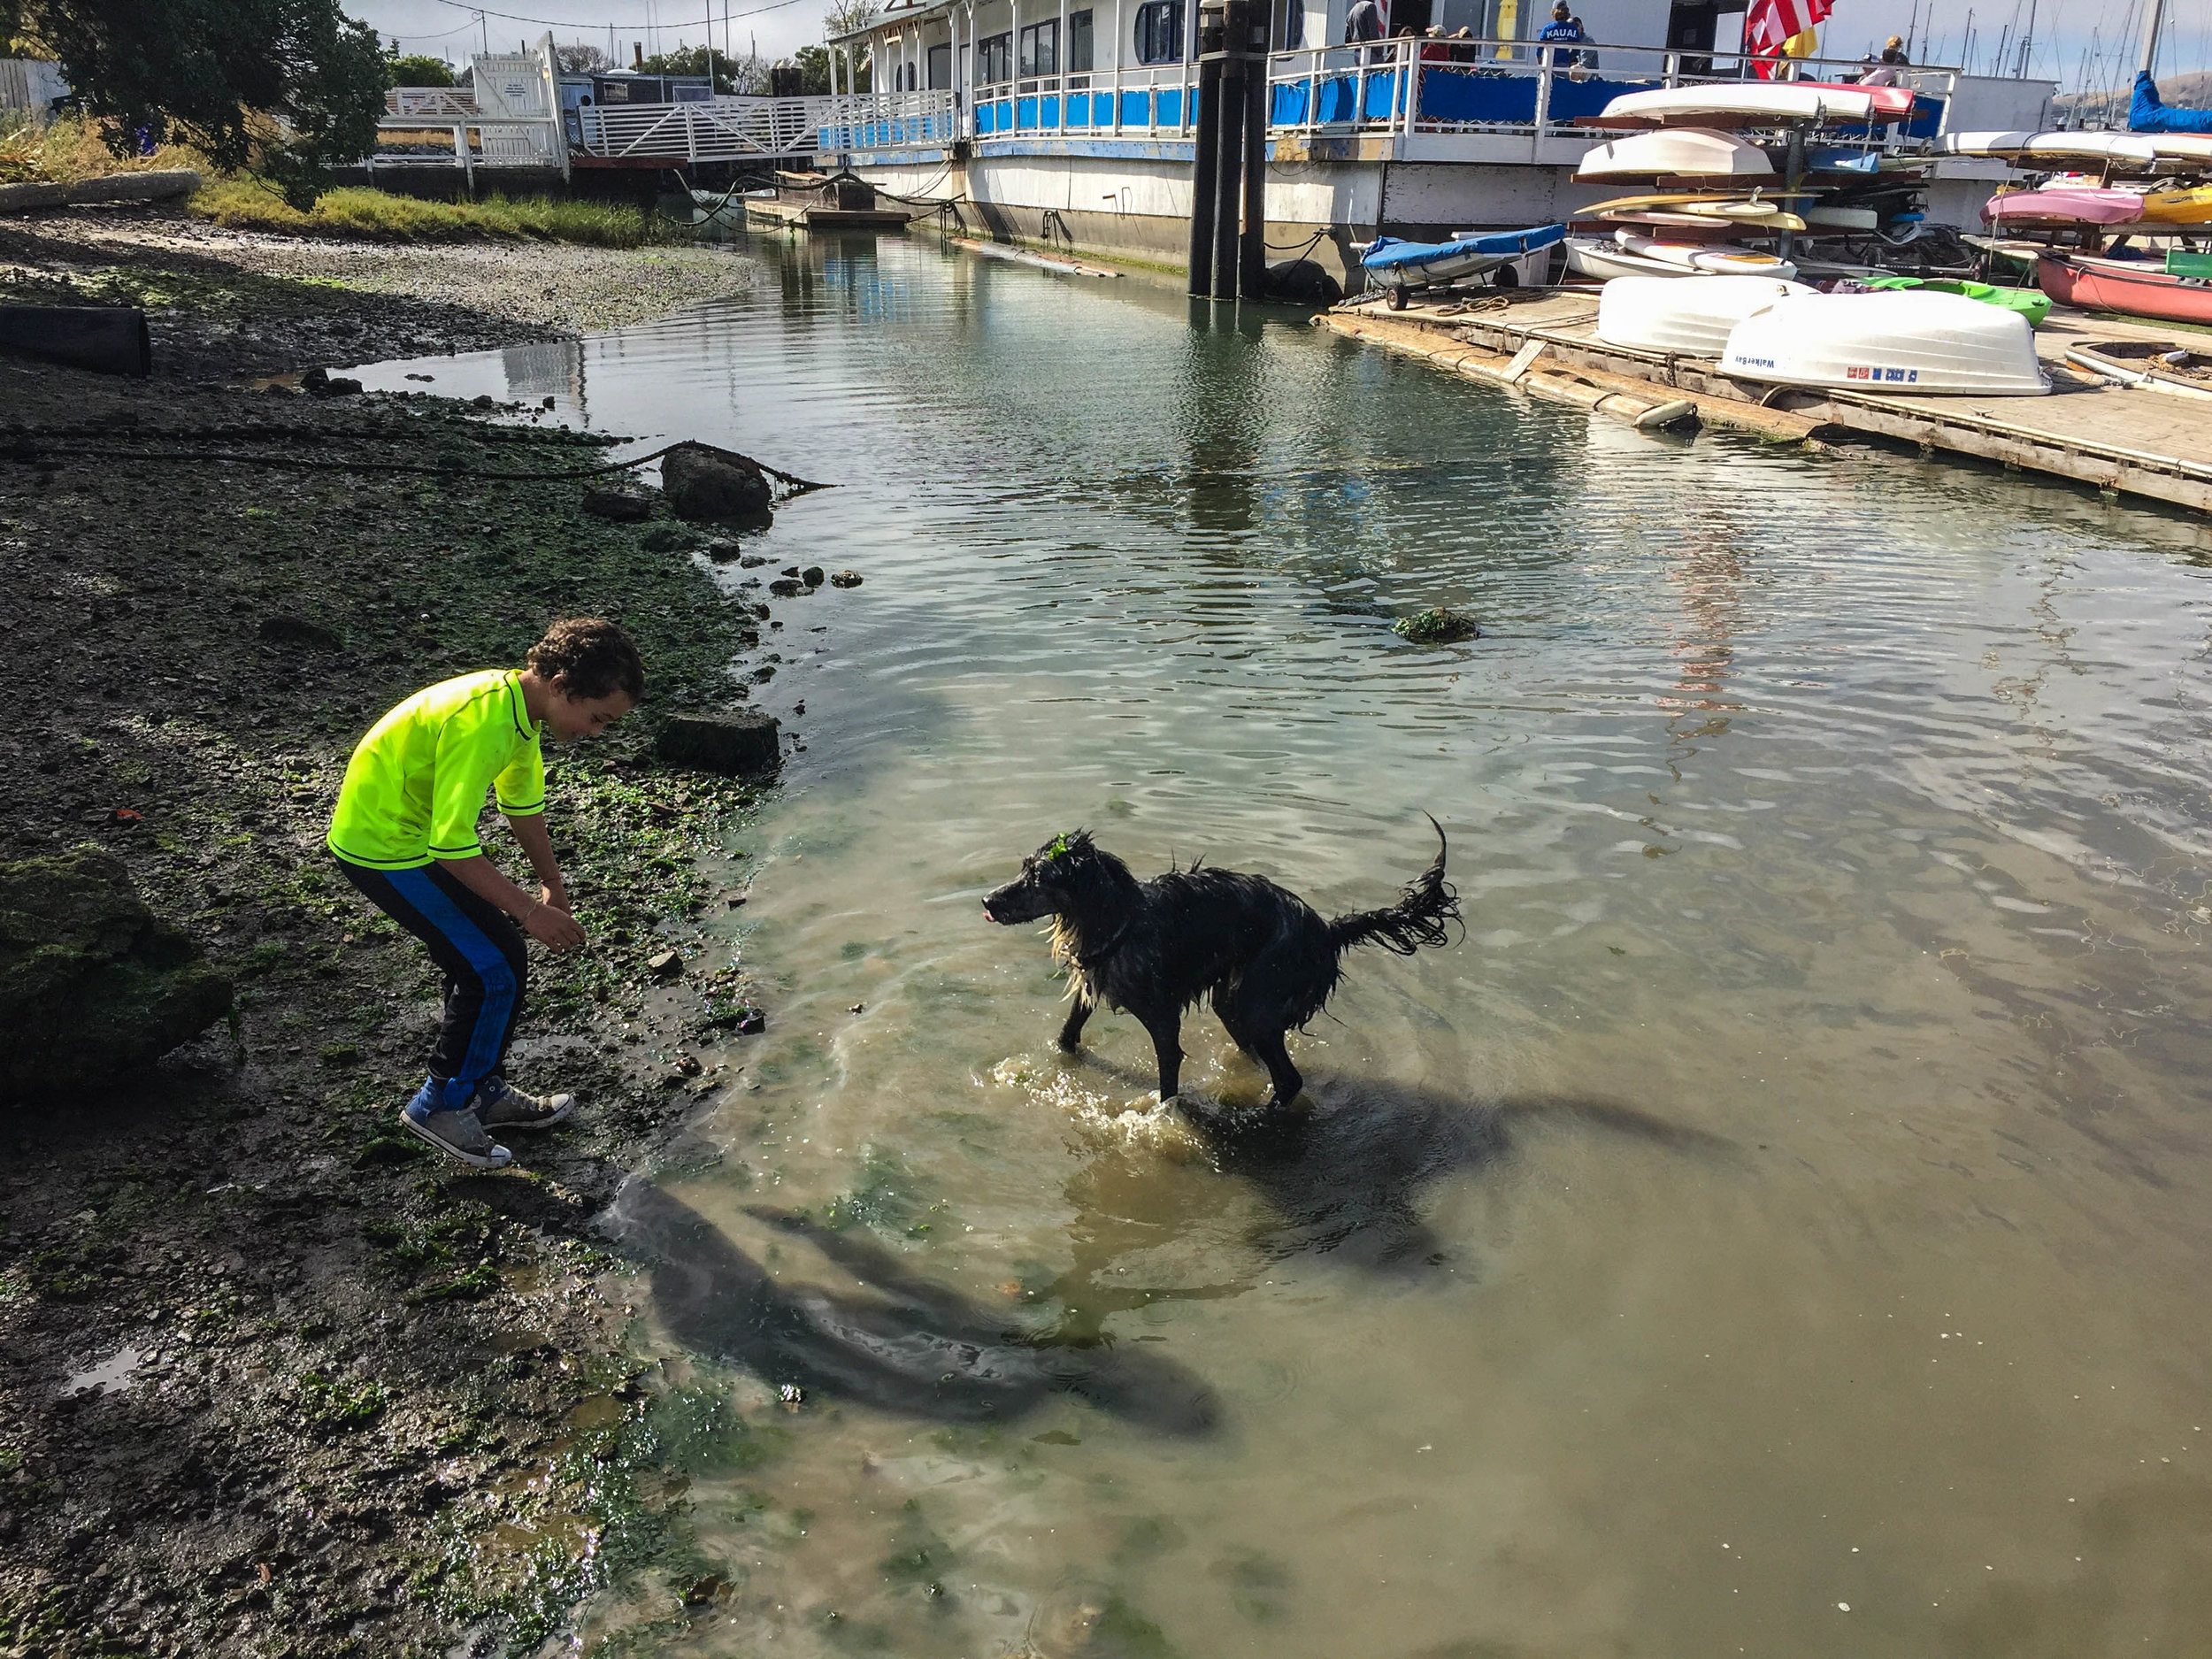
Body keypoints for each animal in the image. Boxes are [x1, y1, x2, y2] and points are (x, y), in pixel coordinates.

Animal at [982, 827, 1460, 1110]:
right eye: (1024, 869)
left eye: (1040, 877)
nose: (987, 900)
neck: (1119, 919)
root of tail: (1327, 930)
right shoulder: (1089, 989)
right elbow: (1066, 1037)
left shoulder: (1162, 1019)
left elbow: (1168, 1085)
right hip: (1234, 1001)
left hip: (1257, 1002)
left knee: (1290, 1080)